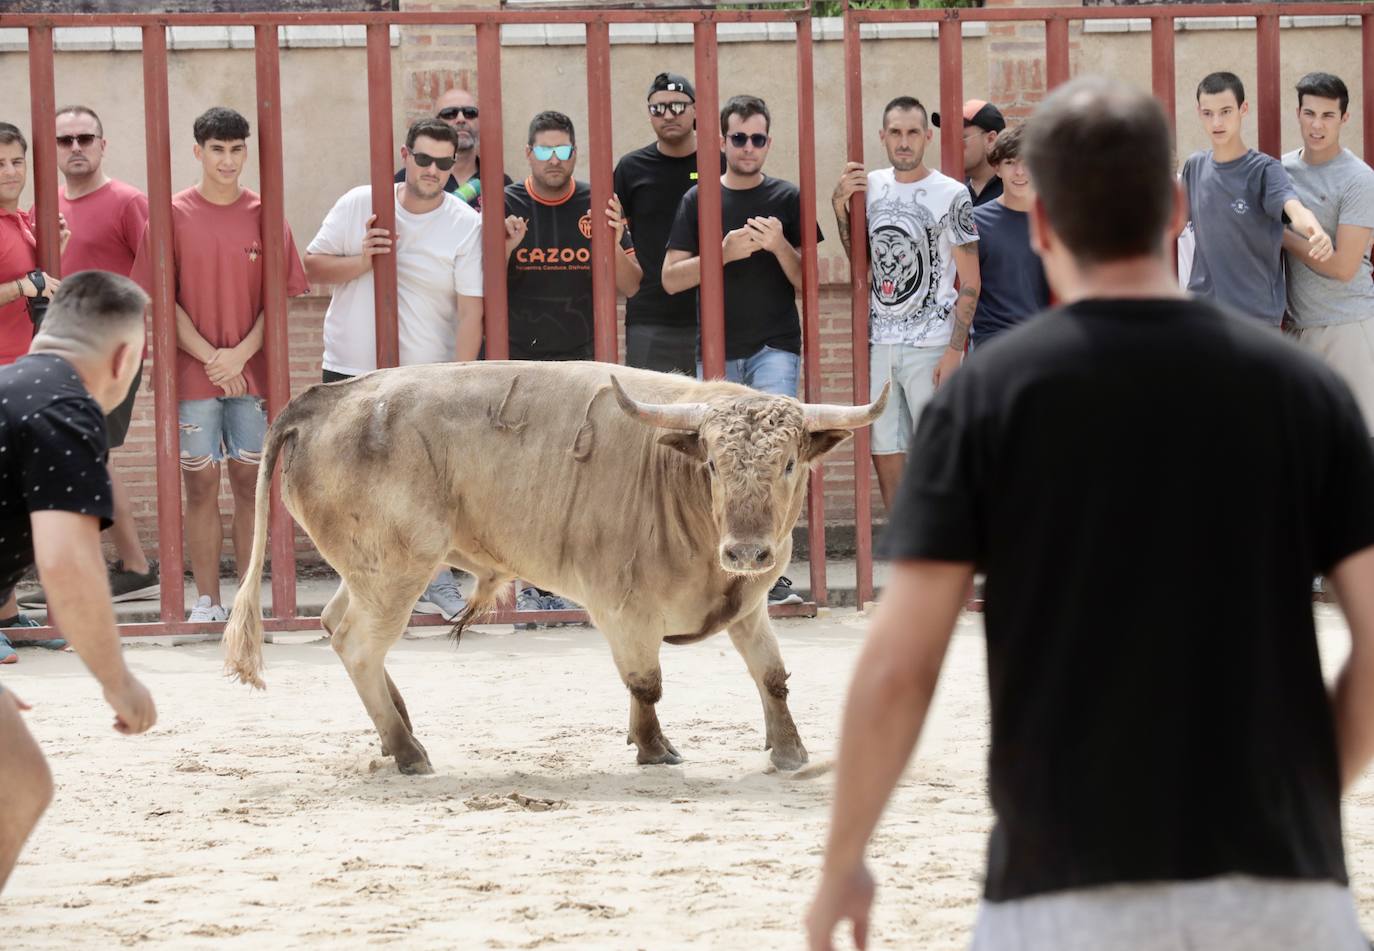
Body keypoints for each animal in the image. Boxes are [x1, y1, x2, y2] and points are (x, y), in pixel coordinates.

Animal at [222, 360, 890, 775]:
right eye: (712, 466)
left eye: (788, 465)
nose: (748, 552)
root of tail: (324, 401)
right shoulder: (622, 607)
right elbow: (646, 682)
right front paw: (654, 747)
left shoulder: (747, 604)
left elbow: (772, 677)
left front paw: (790, 752)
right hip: (395, 572)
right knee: (358, 643)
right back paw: (407, 750)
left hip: (367, 572)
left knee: (335, 624)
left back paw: (398, 731)